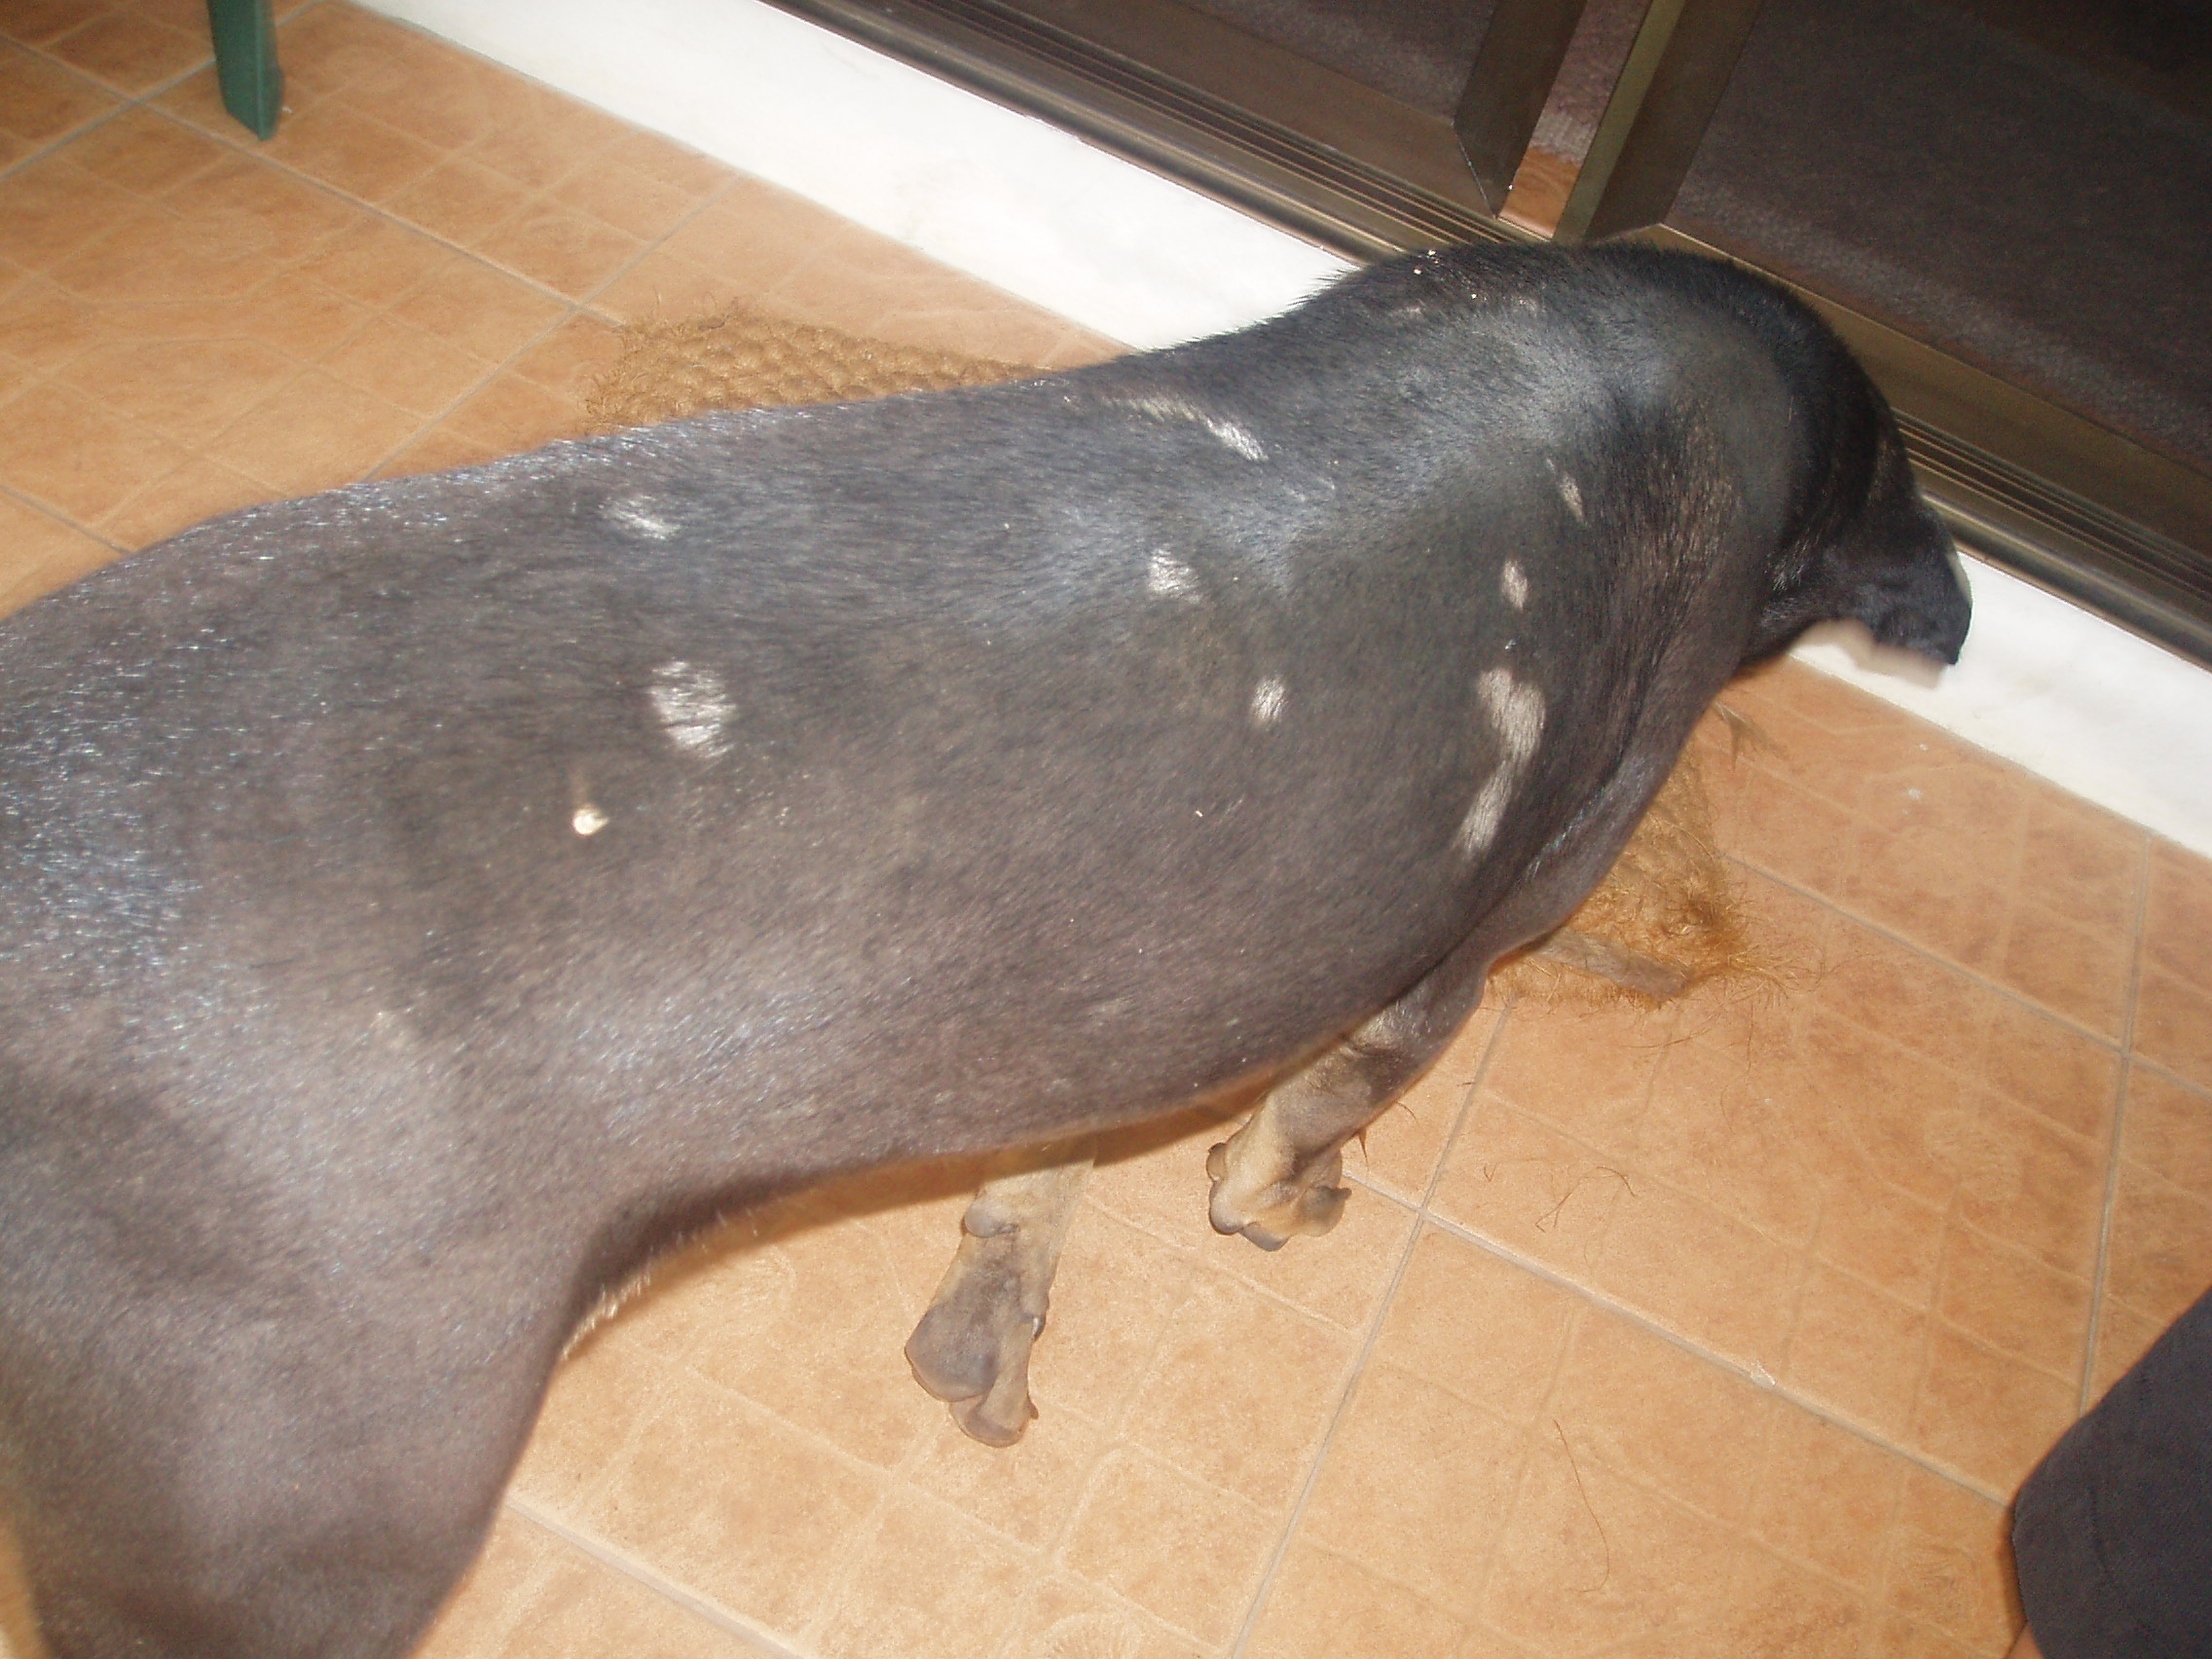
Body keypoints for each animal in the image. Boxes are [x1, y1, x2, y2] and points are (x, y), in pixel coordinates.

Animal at [0, 241, 1968, 1659]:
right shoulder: (1500, 913)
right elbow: (1334, 1094)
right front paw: (1281, 1189)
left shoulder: (1124, 999)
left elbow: (1054, 1155)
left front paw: (995, 1312)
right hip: (307, 1529)